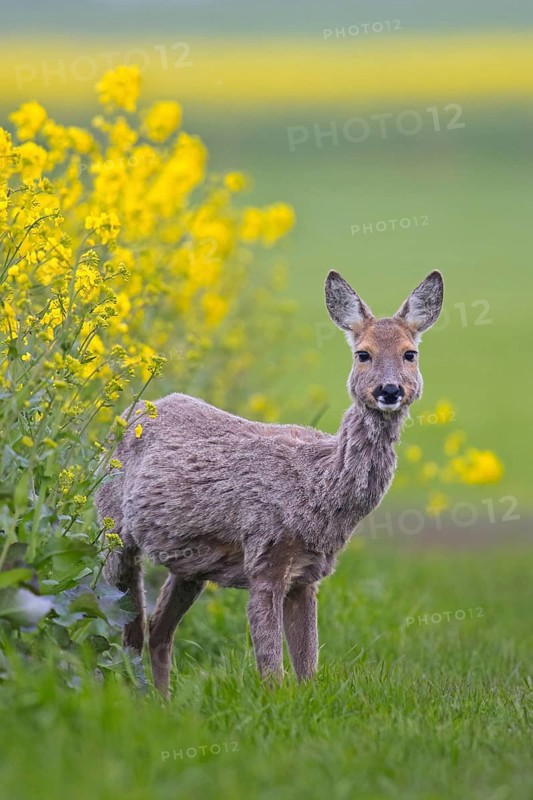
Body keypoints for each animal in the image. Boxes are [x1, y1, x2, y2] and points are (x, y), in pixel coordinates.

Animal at [96, 269, 444, 696]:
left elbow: (308, 667)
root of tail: (133, 411)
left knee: (157, 630)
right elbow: (272, 670)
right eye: (363, 353)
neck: (316, 485)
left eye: (411, 353)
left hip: (189, 564)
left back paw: (162, 700)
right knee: (124, 628)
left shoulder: (308, 574)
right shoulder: (264, 557)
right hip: (114, 532)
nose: (390, 390)